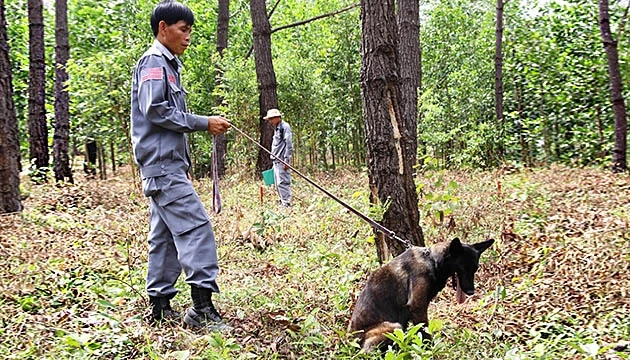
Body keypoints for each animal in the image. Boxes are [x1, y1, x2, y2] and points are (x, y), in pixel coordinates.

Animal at [350, 238, 494, 350]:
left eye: (475, 269)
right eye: (463, 268)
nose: (471, 292)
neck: (432, 261)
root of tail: (350, 339)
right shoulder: (417, 307)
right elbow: (425, 332)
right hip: (393, 326)